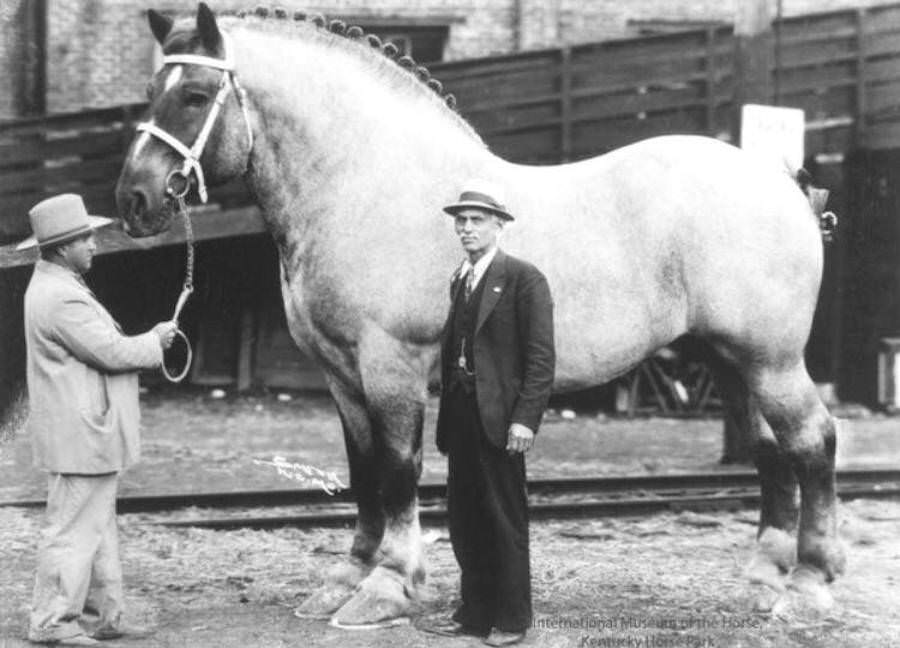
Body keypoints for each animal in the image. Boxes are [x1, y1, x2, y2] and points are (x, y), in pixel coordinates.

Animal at [115, 3, 844, 628]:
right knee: (769, 450)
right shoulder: (341, 374)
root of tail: (784, 183)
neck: (368, 185)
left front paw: (388, 586)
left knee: (812, 441)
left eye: (194, 95)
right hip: (729, 360)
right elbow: (362, 470)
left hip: (771, 360)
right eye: (152, 89)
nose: (135, 199)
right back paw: (764, 577)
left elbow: (397, 469)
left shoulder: (392, 364)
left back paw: (810, 584)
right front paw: (347, 577)